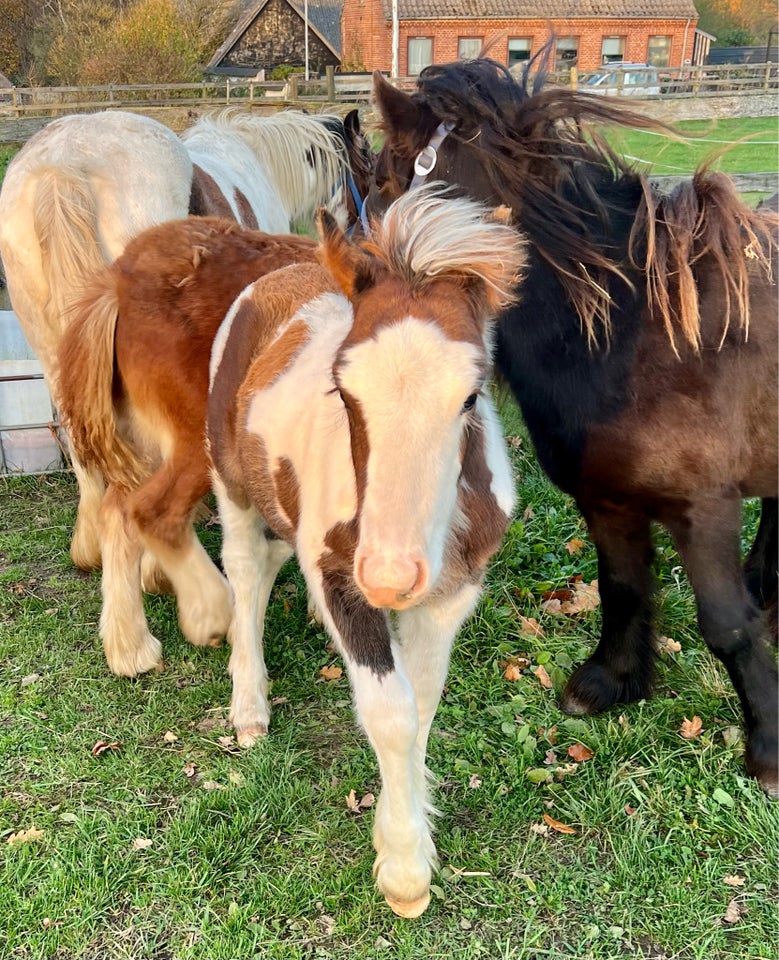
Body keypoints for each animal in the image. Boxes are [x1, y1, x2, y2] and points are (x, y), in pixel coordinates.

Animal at [58, 221, 320, 680]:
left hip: (147, 447)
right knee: (153, 513)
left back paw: (130, 649)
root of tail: (119, 286)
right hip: (202, 442)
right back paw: (212, 615)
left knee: (117, 514)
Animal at [207, 186, 524, 916]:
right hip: (229, 477)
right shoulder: (339, 576)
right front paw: (405, 873)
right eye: (342, 389)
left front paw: (404, 834)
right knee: (244, 571)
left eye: (472, 395)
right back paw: (249, 708)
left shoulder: (454, 590)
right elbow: (391, 711)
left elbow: (423, 699)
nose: (389, 577)